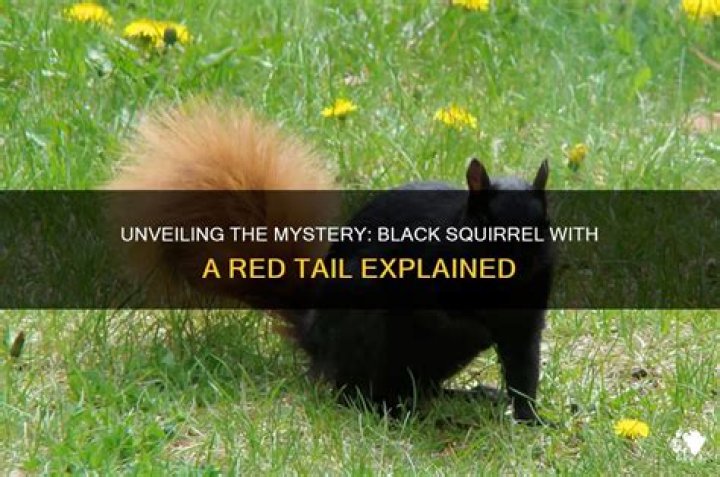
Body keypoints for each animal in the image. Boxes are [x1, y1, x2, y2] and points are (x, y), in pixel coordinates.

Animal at [108, 99, 554, 424]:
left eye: (545, 223)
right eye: (487, 224)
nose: (523, 261)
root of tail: (314, 337)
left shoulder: (528, 316)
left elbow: (523, 367)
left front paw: (531, 420)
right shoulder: (413, 272)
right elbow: (446, 317)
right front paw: (478, 329)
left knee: (412, 385)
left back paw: (462, 397)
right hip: (363, 318)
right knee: (356, 391)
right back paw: (397, 412)